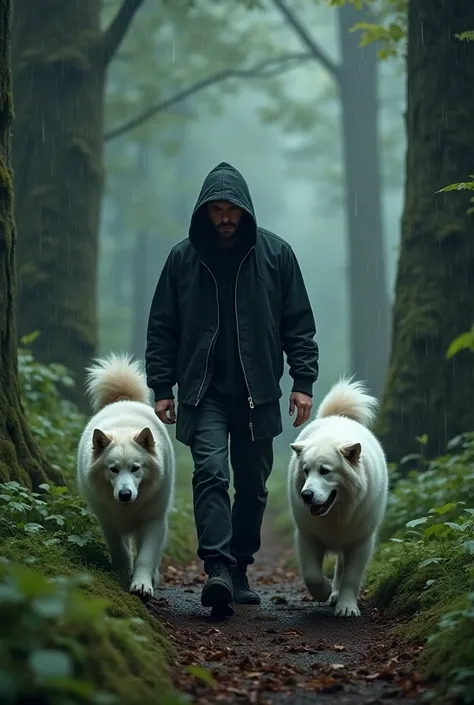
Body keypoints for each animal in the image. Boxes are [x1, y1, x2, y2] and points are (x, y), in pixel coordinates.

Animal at [77, 352, 175, 600]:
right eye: (113, 469)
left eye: (135, 468)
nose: (124, 494)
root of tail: (123, 399)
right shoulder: (108, 520)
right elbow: (120, 551)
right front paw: (122, 575)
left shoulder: (153, 520)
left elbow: (145, 557)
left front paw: (142, 585)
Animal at [286, 376, 386, 612]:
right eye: (306, 471)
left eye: (325, 471)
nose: (305, 495)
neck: (336, 513)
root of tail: (337, 416)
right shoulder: (307, 536)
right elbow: (312, 575)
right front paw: (323, 591)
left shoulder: (360, 540)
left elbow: (351, 576)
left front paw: (347, 606)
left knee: (341, 568)